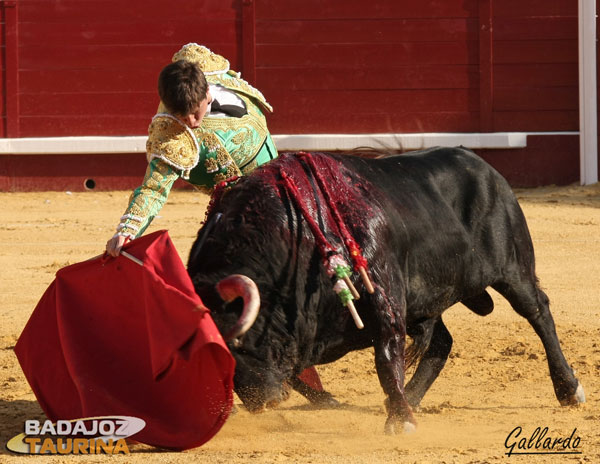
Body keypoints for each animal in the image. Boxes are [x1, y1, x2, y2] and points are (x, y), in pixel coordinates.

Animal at [185, 147, 584, 434]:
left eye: (239, 342)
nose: (260, 401)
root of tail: (485, 167)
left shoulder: (385, 296)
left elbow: (386, 356)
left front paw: (399, 421)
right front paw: (396, 410)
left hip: (514, 269)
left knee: (538, 313)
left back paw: (568, 389)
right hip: (424, 300)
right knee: (441, 342)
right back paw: (412, 400)